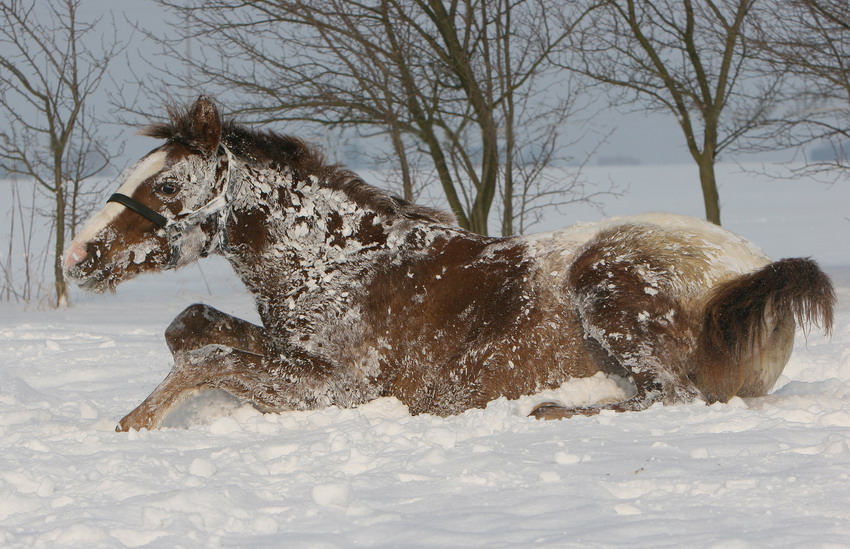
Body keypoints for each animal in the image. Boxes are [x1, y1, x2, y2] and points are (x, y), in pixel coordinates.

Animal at [63, 96, 832, 430]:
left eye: (167, 185)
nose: (77, 255)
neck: (345, 266)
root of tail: (745, 272)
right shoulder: (290, 352)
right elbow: (191, 327)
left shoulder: (340, 389)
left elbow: (210, 358)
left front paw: (139, 420)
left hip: (608, 283)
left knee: (669, 394)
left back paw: (554, 407)